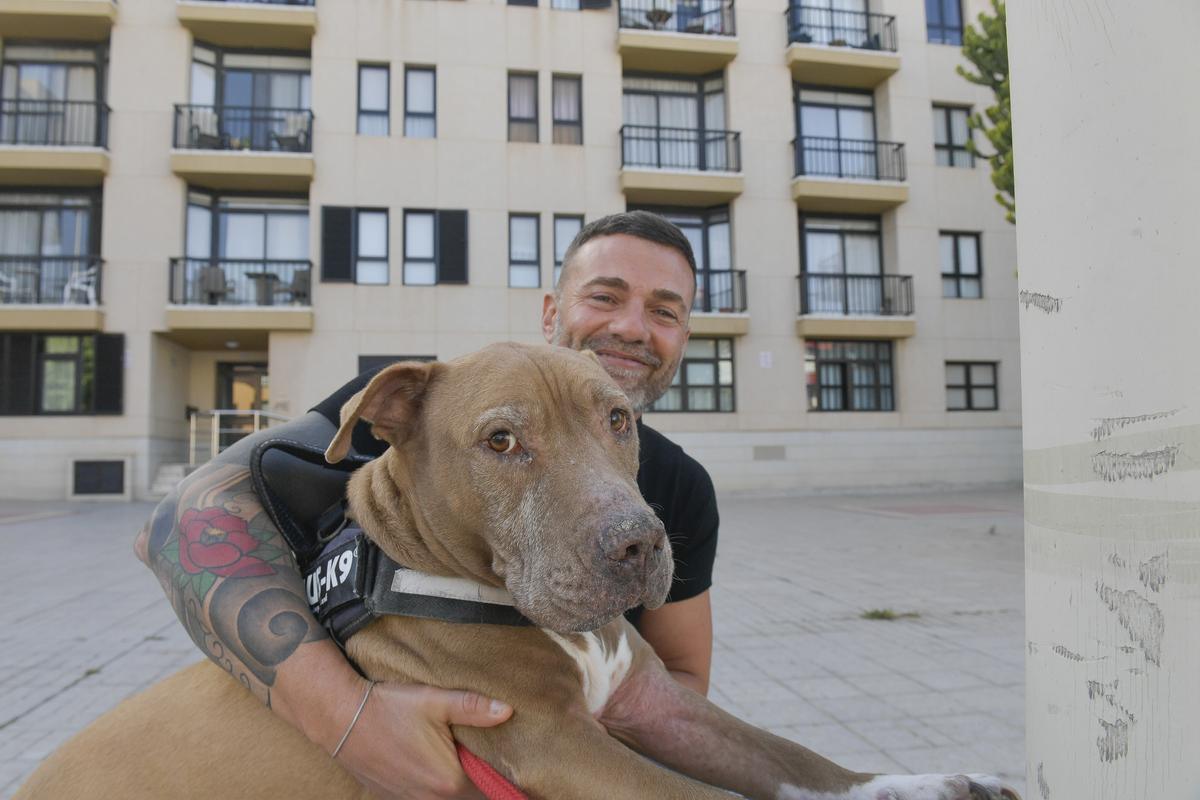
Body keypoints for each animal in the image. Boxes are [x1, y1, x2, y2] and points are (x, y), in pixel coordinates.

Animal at [14, 345, 1017, 800]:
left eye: (619, 420)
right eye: (502, 441)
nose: (640, 543)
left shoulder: (657, 705)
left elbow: (793, 762)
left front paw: (930, 785)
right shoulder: (556, 745)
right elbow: (724, 796)